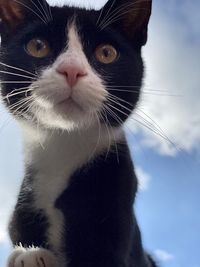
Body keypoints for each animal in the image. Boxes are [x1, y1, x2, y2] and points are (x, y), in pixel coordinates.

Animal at [0, 0, 158, 266]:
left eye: (106, 53)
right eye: (37, 46)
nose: (71, 70)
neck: (62, 147)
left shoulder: (116, 194)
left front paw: (31, 255)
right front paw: (30, 253)